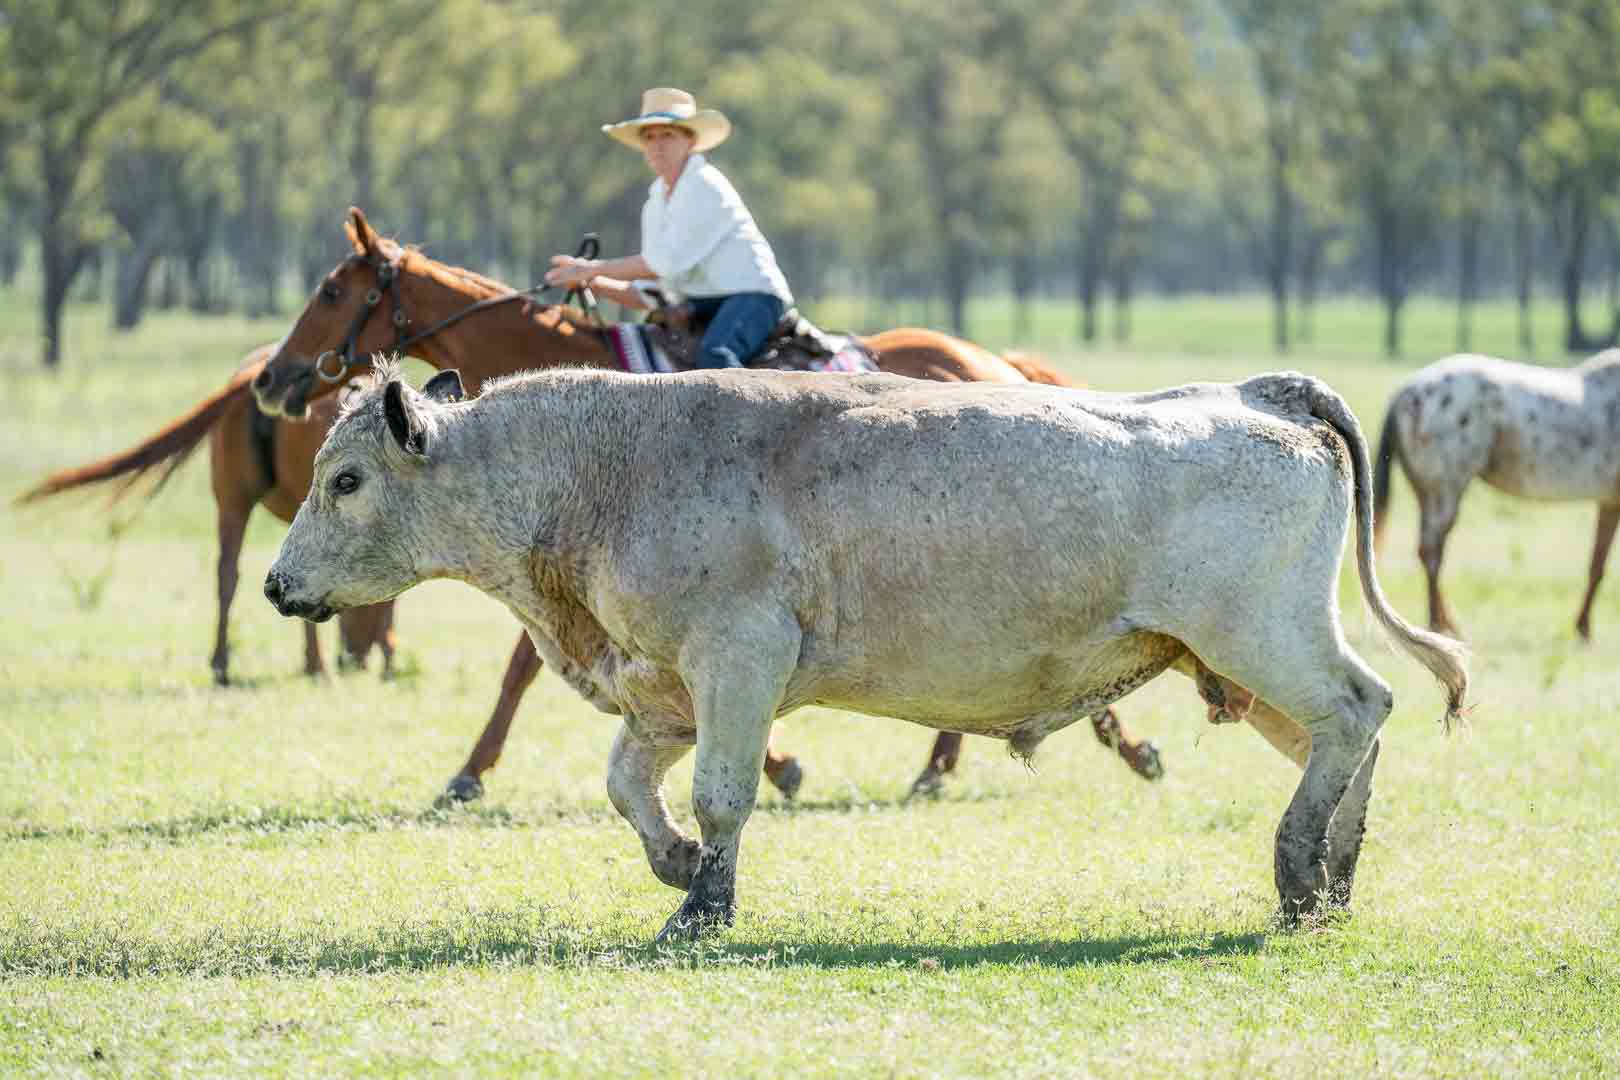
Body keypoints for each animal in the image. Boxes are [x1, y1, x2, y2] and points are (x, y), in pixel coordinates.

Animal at [265, 362, 1470, 939]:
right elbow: (628, 788)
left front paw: (702, 906)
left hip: (1260, 639)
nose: (277, 585)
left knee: (1358, 711)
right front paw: (677, 866)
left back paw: (1299, 864)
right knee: (1350, 733)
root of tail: (1261, 394)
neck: (604, 470)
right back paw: (1330, 879)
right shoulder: (663, 689)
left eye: (347, 479)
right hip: (1235, 665)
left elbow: (722, 795)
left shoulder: (737, 663)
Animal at [1373, 351, 1620, 641]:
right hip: (1444, 492)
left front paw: (1583, 628)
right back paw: (1439, 625)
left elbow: (1597, 565)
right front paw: (1584, 630)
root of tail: (1404, 393)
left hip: (1428, 493)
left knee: (1429, 553)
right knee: (1431, 553)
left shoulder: (1609, 502)